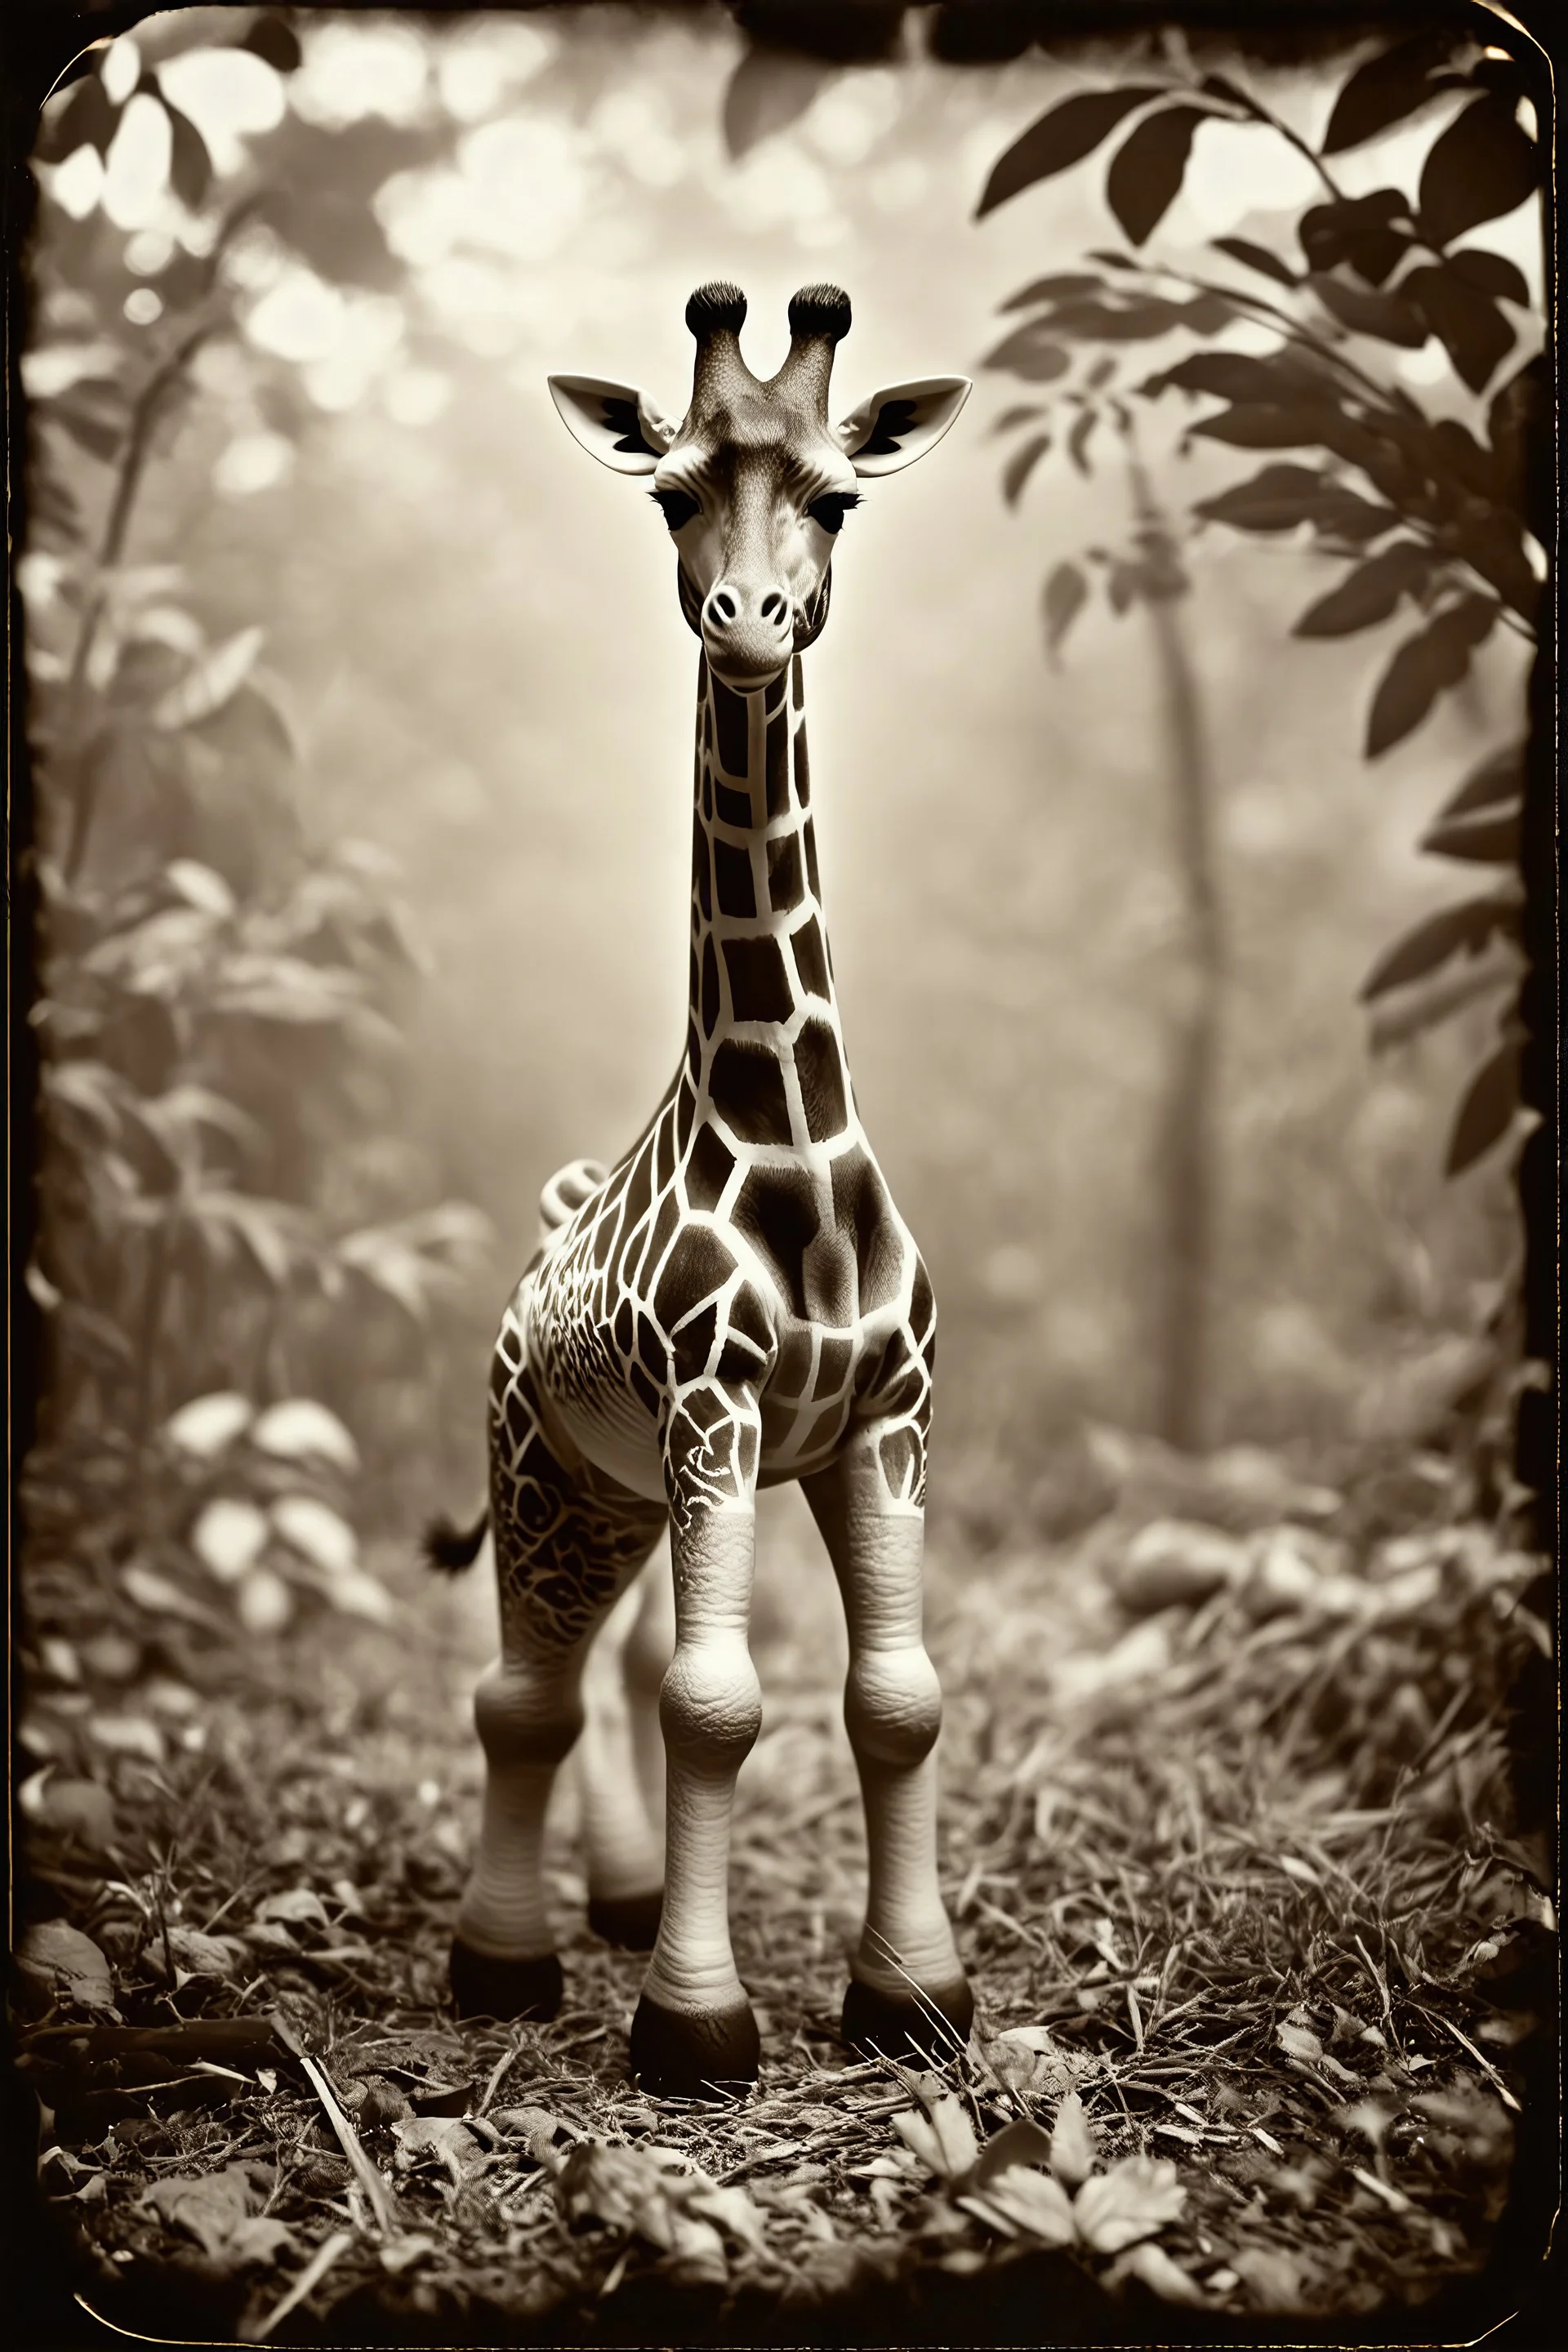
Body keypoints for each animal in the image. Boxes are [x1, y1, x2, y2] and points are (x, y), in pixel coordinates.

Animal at [430, 283, 973, 2097]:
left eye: (840, 497)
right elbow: (717, 1704)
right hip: (539, 1463)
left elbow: (897, 1696)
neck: (790, 1129)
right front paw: (696, 2025)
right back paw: (507, 1961)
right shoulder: (714, 1412)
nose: (752, 617)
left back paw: (609, 1900)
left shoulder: (884, 1416)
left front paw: (913, 1998)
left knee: (592, 1670)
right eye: (670, 495)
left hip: (600, 1494)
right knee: (525, 1691)